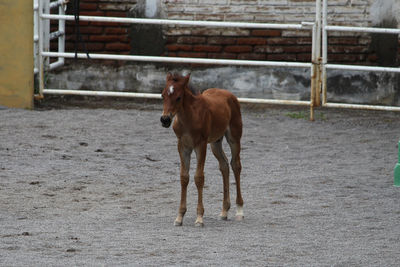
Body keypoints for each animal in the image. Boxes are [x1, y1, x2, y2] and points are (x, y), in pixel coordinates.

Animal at [160, 72, 244, 227]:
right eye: (162, 95)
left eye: (178, 97)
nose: (165, 120)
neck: (189, 117)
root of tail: (228, 94)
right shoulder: (183, 146)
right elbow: (184, 177)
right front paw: (179, 217)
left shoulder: (201, 145)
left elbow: (199, 177)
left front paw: (199, 218)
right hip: (215, 143)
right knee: (224, 166)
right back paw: (224, 211)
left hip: (234, 138)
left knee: (235, 165)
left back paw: (239, 211)